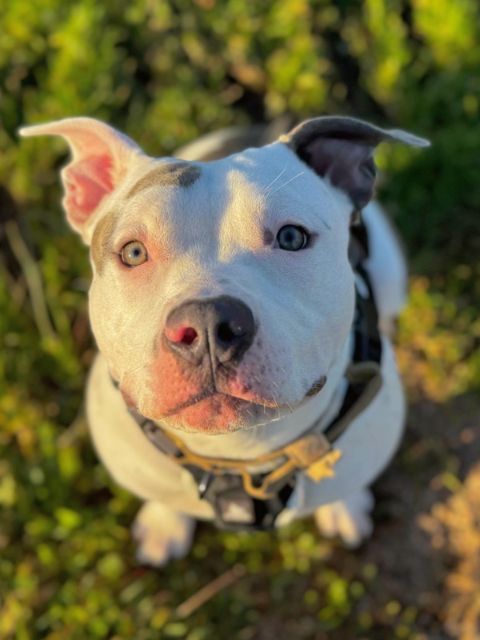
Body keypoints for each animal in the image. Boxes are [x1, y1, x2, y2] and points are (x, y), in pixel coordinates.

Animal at [20, 116, 429, 566]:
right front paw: (165, 524)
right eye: (132, 253)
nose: (207, 324)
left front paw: (344, 508)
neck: (239, 454)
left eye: (291, 237)